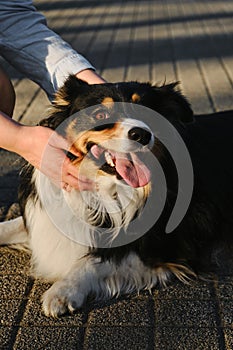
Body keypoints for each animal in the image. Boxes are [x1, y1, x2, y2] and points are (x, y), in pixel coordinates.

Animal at [0, 75, 232, 316]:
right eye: (100, 115)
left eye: (147, 111)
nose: (141, 134)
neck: (102, 188)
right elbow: (11, 225)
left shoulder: (166, 244)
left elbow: (97, 260)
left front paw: (63, 291)